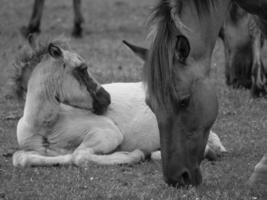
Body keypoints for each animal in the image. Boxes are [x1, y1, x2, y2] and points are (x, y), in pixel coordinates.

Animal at [11, 38, 227, 168]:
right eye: (83, 68)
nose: (106, 98)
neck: (45, 126)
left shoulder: (107, 133)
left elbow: (79, 155)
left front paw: (134, 154)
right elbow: (21, 158)